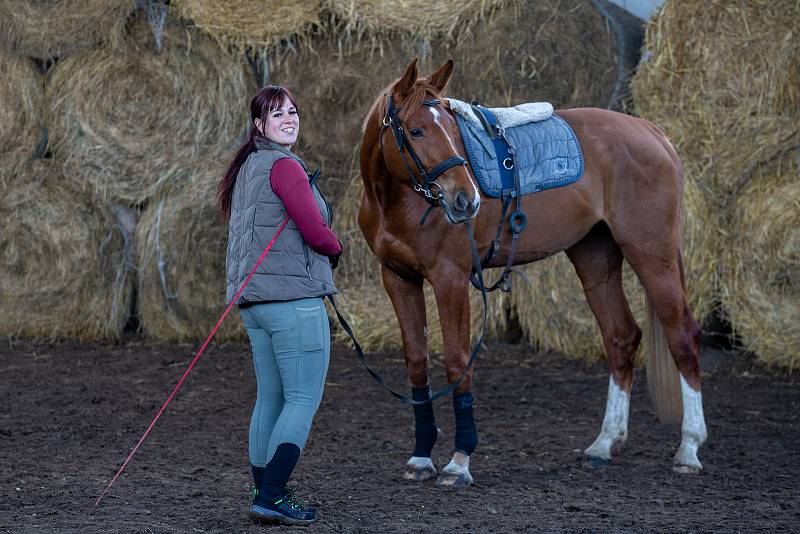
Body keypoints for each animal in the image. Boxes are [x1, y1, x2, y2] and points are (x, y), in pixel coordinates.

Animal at [356, 59, 708, 490]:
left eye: (453, 130)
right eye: (417, 130)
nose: (466, 199)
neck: (395, 200)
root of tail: (652, 133)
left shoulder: (449, 278)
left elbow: (457, 361)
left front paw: (459, 461)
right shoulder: (399, 278)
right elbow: (417, 361)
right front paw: (421, 457)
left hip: (652, 256)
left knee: (683, 337)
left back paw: (689, 448)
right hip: (596, 258)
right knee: (621, 337)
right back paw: (604, 444)